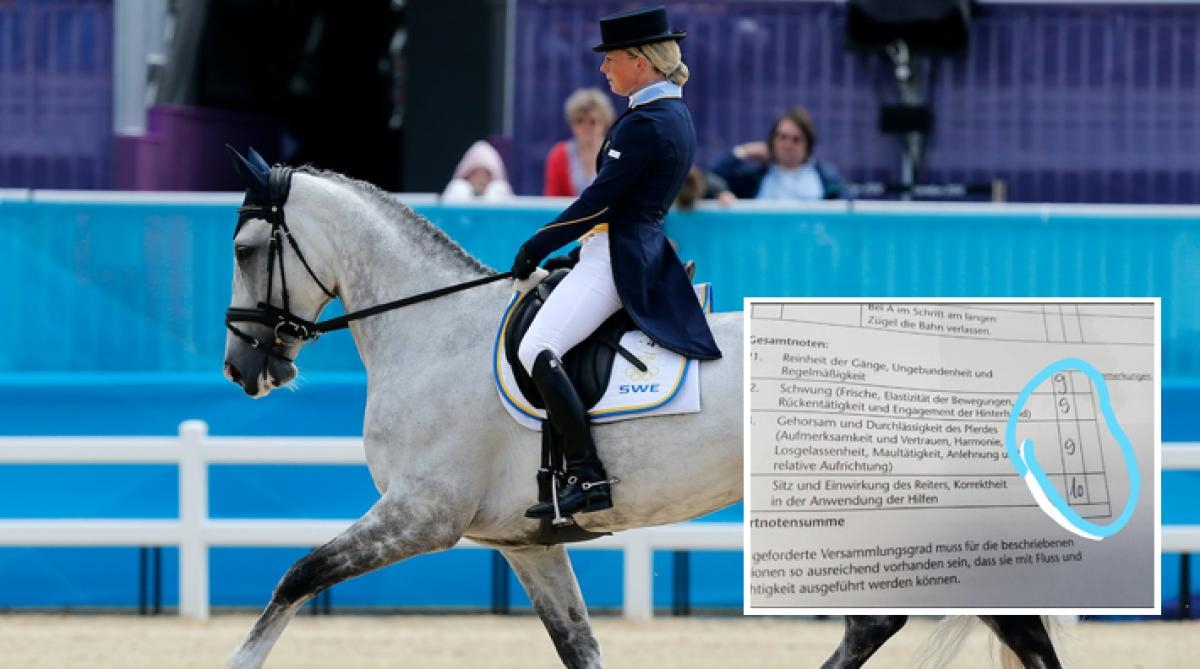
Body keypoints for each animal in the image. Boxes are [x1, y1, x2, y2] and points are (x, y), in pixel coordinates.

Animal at [220, 152, 1065, 669]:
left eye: (246, 248)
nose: (242, 366)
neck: (434, 329)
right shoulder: (523, 541)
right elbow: (581, 646)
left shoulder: (421, 514)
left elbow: (296, 574)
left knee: (906, 623)